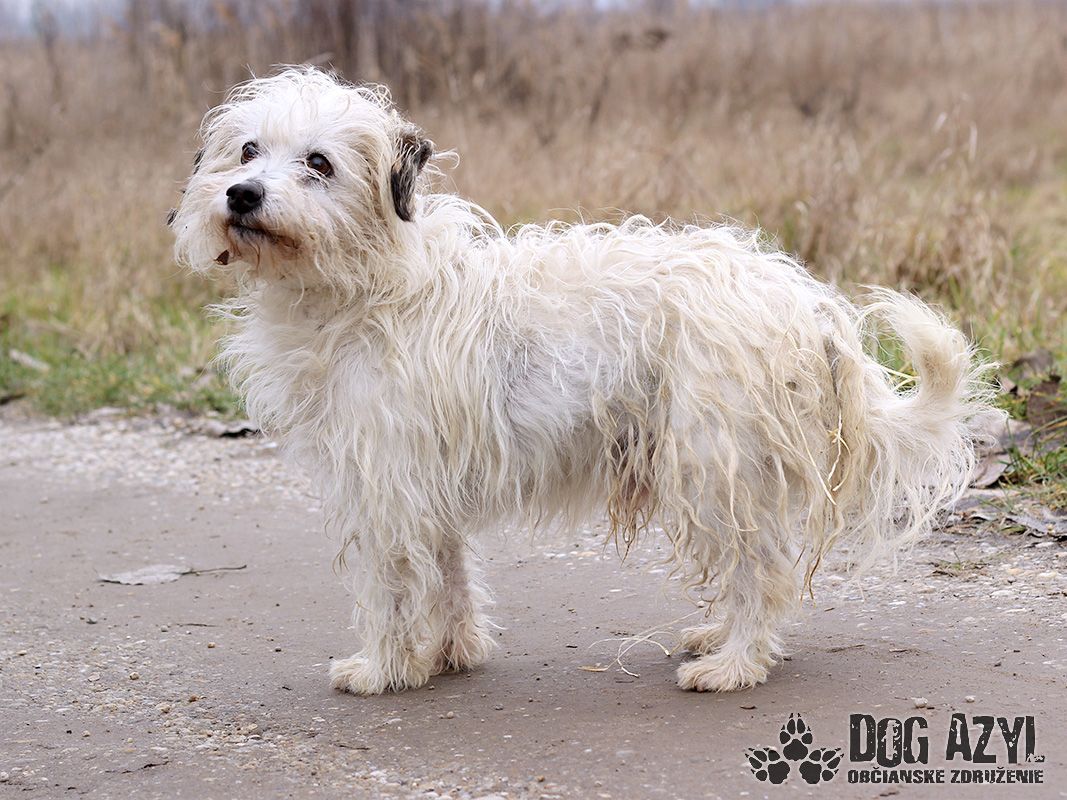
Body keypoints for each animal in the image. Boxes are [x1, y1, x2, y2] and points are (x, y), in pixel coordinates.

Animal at [171, 66, 993, 694]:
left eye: (318, 162)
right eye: (247, 149)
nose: (242, 194)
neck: (370, 284)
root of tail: (808, 305)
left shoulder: (385, 487)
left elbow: (390, 587)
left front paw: (382, 668)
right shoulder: (424, 483)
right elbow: (448, 574)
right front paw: (449, 654)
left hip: (709, 466)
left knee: (761, 570)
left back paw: (733, 664)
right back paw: (718, 637)